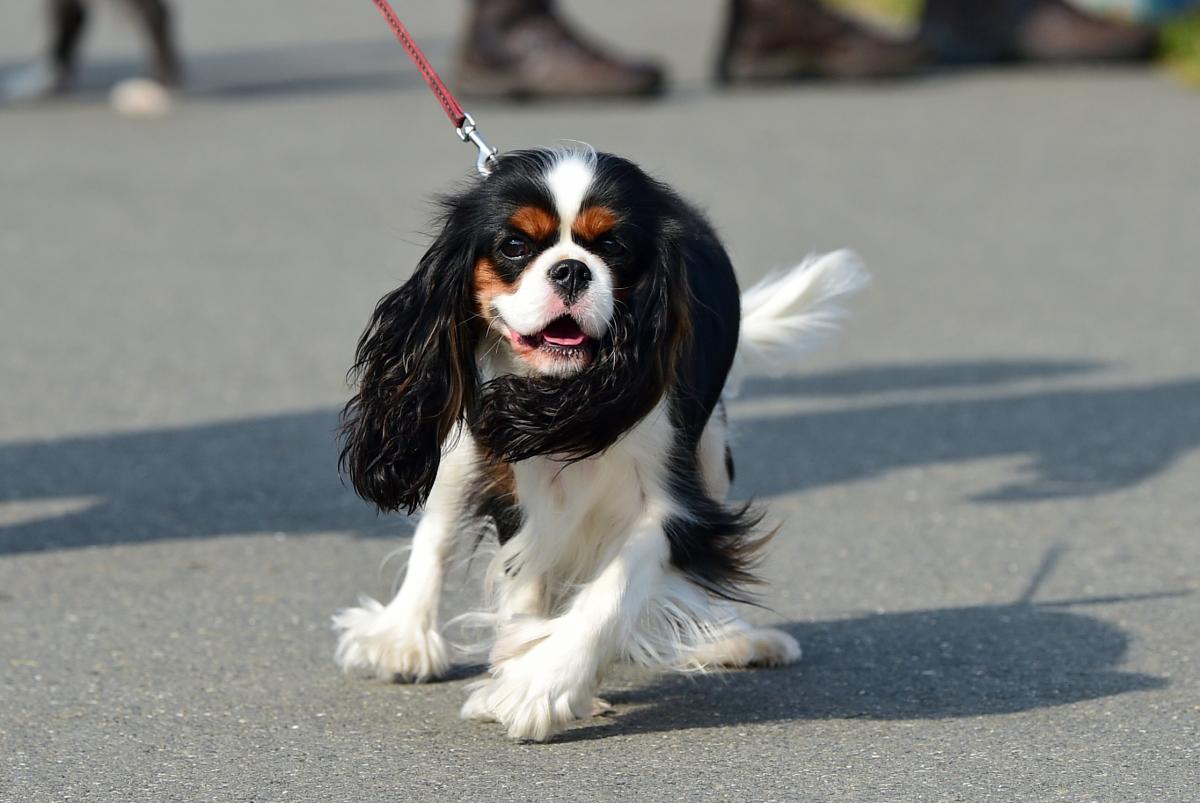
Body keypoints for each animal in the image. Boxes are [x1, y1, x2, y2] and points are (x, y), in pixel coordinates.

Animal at [333, 145, 868, 739]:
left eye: (613, 245)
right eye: (514, 245)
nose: (571, 269)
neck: (563, 394)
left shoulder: (669, 503)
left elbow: (611, 592)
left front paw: (538, 685)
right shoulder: (516, 484)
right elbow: (524, 579)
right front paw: (521, 670)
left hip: (709, 452)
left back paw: (732, 639)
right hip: (463, 451)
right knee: (437, 532)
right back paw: (401, 635)